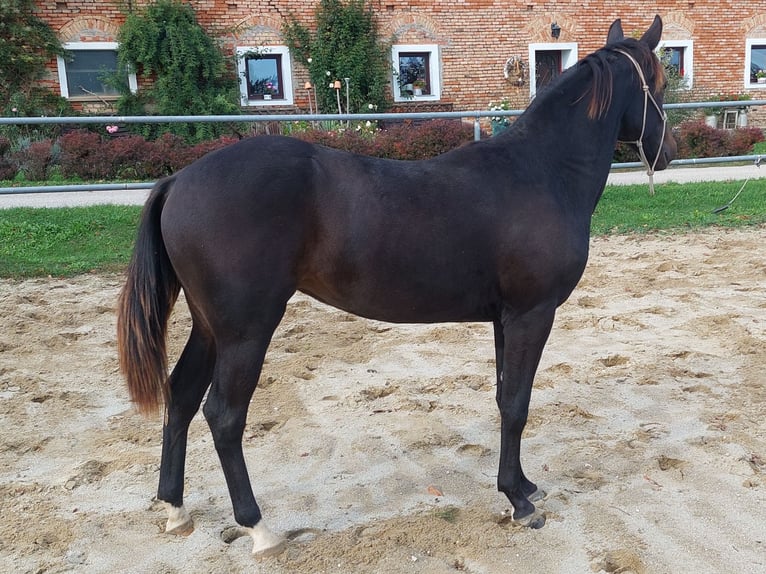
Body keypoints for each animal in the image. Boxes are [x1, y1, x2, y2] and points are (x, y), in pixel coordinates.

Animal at [115, 16, 680, 560]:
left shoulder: (505, 318)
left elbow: (505, 399)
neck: (541, 172)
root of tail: (179, 181)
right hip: (246, 332)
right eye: (660, 81)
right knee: (224, 416)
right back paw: (259, 529)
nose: (669, 150)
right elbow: (518, 403)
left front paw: (520, 486)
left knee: (180, 397)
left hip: (210, 328)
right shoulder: (531, 314)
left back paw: (175, 509)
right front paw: (519, 503)